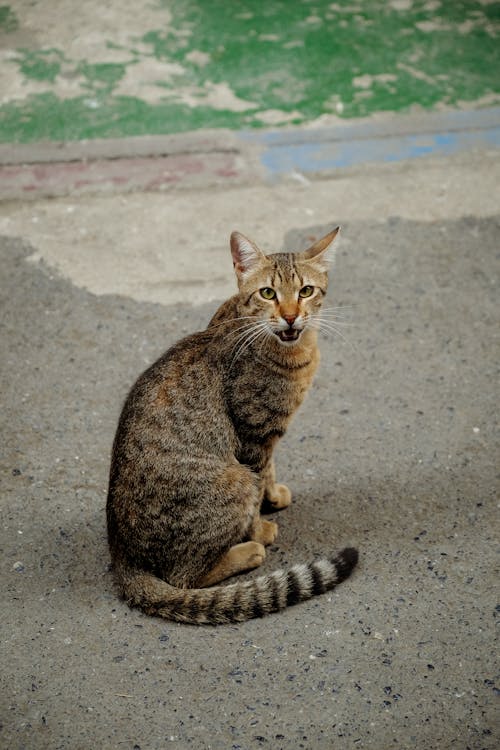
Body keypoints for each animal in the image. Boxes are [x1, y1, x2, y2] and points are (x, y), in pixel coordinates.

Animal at [105, 226, 358, 624]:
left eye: (305, 291)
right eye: (268, 293)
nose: (290, 317)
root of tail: (122, 558)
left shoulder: (266, 437)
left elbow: (270, 470)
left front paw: (274, 495)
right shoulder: (252, 435)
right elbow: (259, 481)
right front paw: (260, 527)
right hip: (232, 478)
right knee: (182, 578)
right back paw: (247, 550)